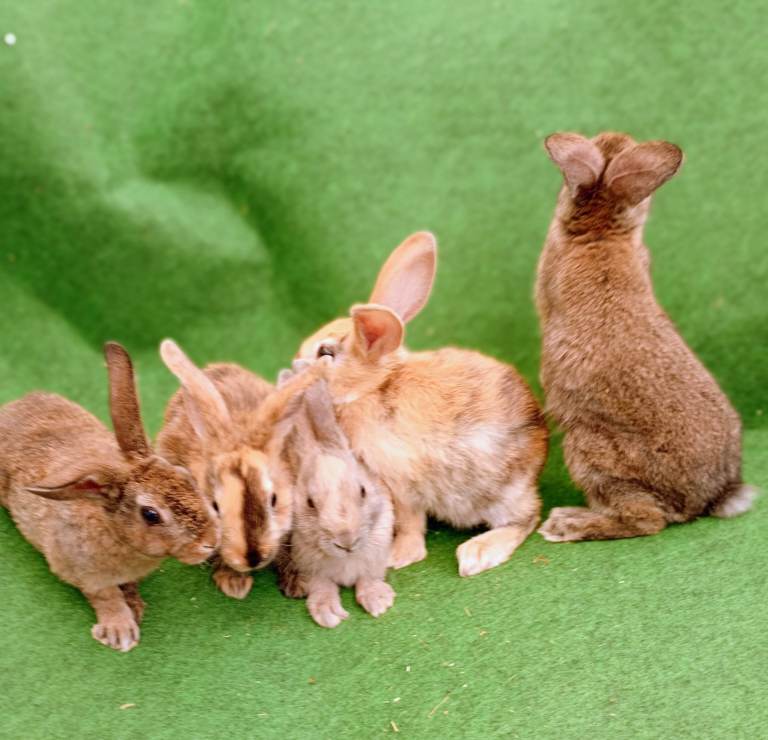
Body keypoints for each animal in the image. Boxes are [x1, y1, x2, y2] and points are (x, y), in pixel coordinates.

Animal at [0, 342, 220, 652]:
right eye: (151, 515)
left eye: (184, 476)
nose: (211, 542)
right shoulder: (87, 575)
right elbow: (106, 597)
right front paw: (120, 632)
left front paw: (136, 606)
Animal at [275, 372, 395, 628]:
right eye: (310, 503)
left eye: (363, 491)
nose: (347, 541)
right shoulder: (310, 568)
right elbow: (323, 587)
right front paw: (328, 613)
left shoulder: (375, 558)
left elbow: (368, 579)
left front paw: (378, 601)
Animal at [294, 232, 548, 577]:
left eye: (325, 353)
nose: (293, 367)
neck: (373, 389)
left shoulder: (399, 484)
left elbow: (410, 523)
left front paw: (397, 556)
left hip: (502, 496)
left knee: (528, 517)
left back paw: (477, 553)